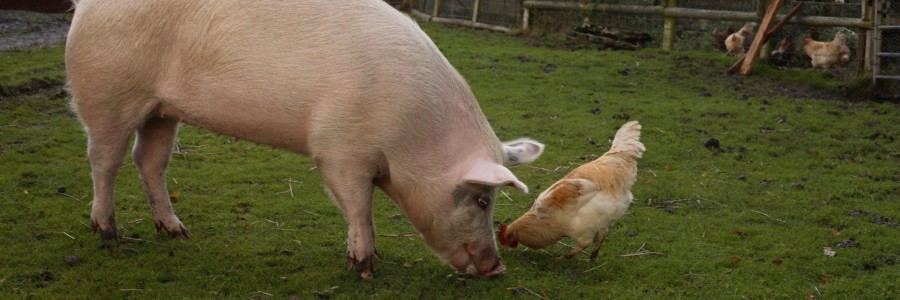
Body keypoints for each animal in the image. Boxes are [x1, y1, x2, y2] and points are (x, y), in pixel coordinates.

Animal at [65, 0, 540, 278]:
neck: (412, 136)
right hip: (106, 93)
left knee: (149, 161)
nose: (497, 268)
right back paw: (109, 236)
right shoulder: (337, 149)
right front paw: (365, 269)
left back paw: (177, 233)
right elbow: (359, 208)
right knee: (103, 160)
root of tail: (87, 6)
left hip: (162, 111)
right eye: (482, 199)